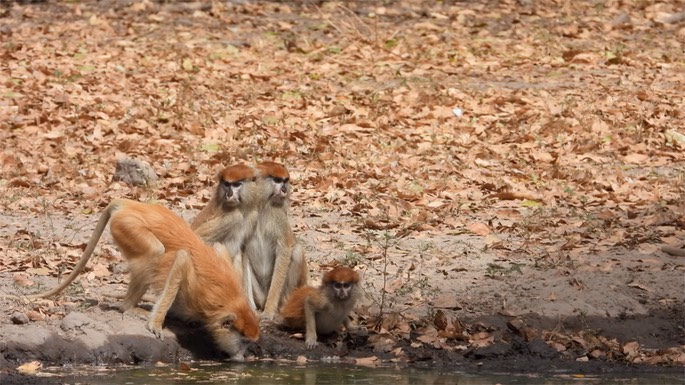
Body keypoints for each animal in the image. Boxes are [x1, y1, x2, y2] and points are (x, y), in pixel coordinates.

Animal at [2, 200, 260, 362]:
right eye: (244, 342)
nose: (244, 355)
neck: (228, 302)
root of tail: (130, 204)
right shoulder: (197, 291)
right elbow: (182, 260)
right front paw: (156, 323)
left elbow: (219, 249)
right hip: (128, 225)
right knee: (154, 252)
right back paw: (129, 307)